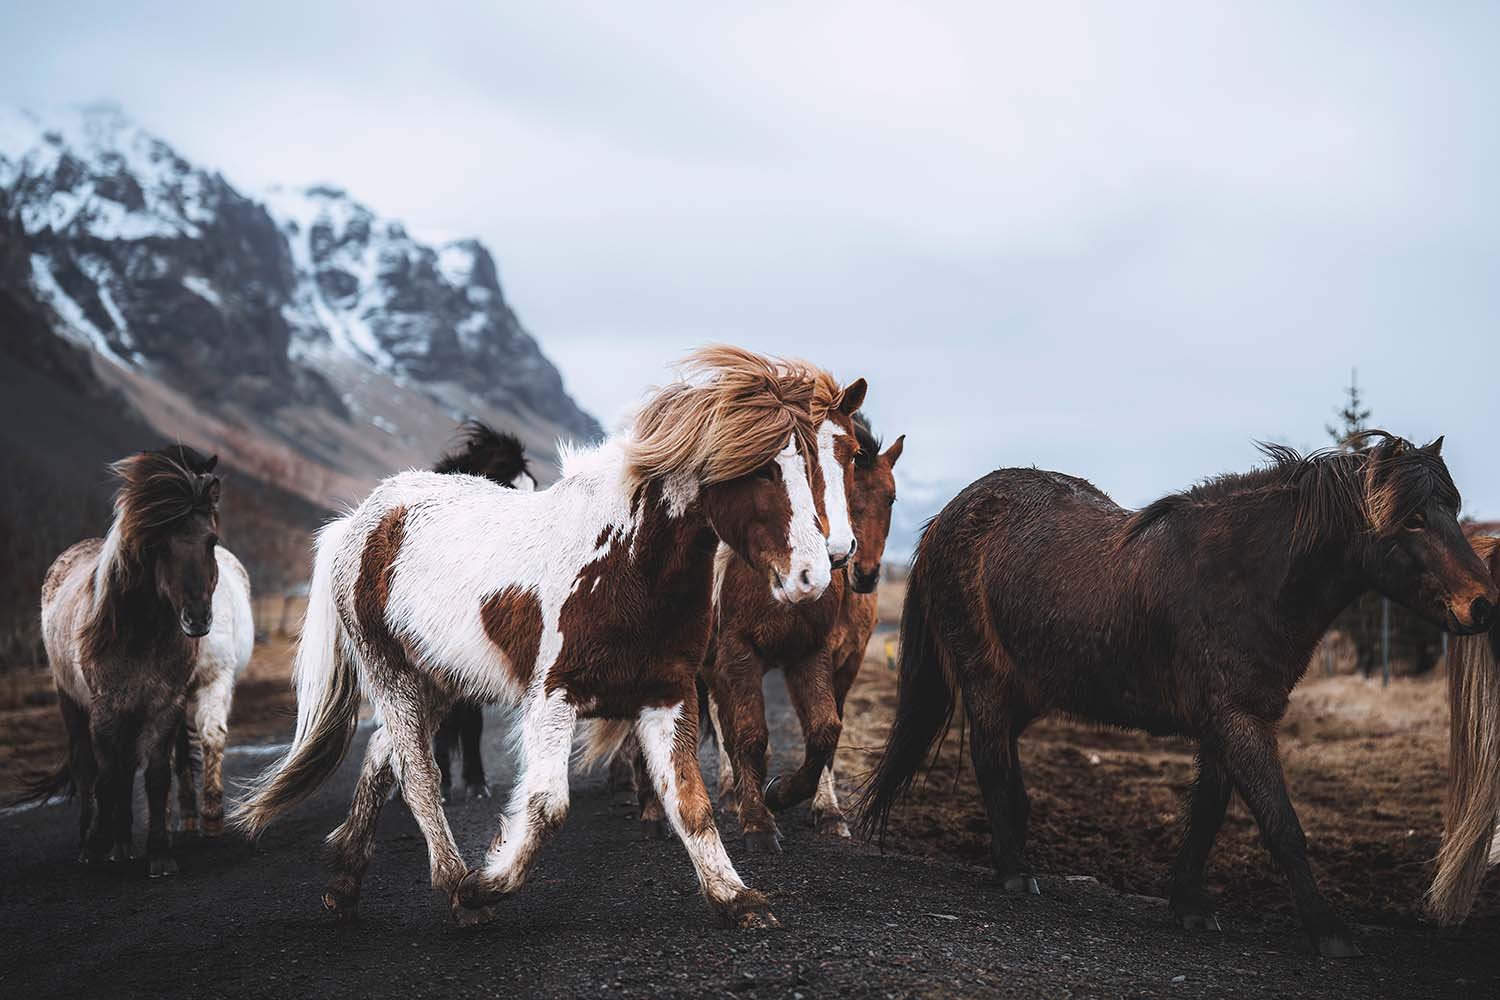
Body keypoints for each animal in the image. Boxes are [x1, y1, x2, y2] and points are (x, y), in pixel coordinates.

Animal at [19, 445, 252, 876]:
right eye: (158, 543)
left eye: (210, 540)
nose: (197, 617)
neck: (140, 634)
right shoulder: (106, 708)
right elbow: (107, 775)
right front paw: (97, 845)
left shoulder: (169, 700)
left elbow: (159, 772)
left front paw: (160, 851)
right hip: (71, 700)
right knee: (87, 766)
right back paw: (94, 837)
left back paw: (130, 838)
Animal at [667, 412, 902, 851]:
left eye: (891, 498)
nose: (862, 571)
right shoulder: (740, 651)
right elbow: (750, 732)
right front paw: (760, 815)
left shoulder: (833, 660)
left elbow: (826, 732)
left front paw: (821, 809)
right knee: (725, 725)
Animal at [857, 433, 1496, 958]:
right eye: (1413, 520)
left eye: (1452, 507)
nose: (1483, 604)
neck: (1245, 577)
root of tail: (948, 516)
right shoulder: (1240, 723)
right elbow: (1281, 825)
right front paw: (1328, 931)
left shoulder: (1227, 725)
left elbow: (1208, 813)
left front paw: (1188, 904)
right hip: (987, 684)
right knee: (991, 764)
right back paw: (1015, 871)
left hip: (1028, 690)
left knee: (1007, 770)